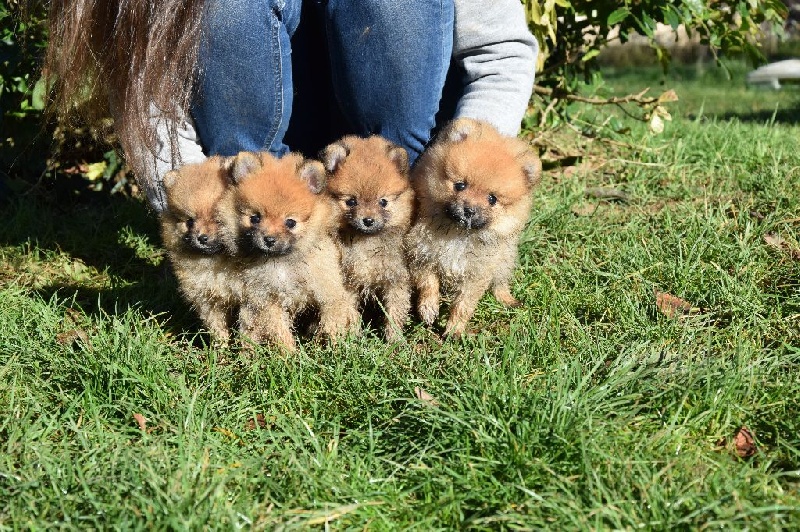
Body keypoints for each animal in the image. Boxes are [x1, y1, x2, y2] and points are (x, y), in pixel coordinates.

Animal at [159, 156, 241, 342]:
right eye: (190, 221)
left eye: (218, 219)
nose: (201, 237)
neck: (216, 262)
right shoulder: (206, 300)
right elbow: (217, 327)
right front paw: (221, 346)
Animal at [219, 151, 356, 350]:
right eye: (255, 218)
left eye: (290, 222)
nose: (269, 239)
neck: (282, 262)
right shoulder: (268, 299)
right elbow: (279, 330)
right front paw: (289, 353)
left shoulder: (327, 290)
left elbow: (331, 321)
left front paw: (332, 348)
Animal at [322, 134, 416, 340]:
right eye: (351, 202)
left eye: (383, 202)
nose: (368, 220)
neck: (367, 243)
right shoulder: (348, 280)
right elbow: (350, 310)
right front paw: (353, 335)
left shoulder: (395, 278)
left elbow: (395, 310)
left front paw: (394, 338)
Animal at [406, 119, 544, 338]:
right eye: (460, 186)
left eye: (492, 199)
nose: (469, 209)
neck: (458, 234)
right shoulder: (421, 255)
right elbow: (428, 283)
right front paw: (428, 308)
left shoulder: (477, 273)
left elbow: (464, 304)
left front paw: (454, 329)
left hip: (504, 258)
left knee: (500, 282)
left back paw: (507, 300)